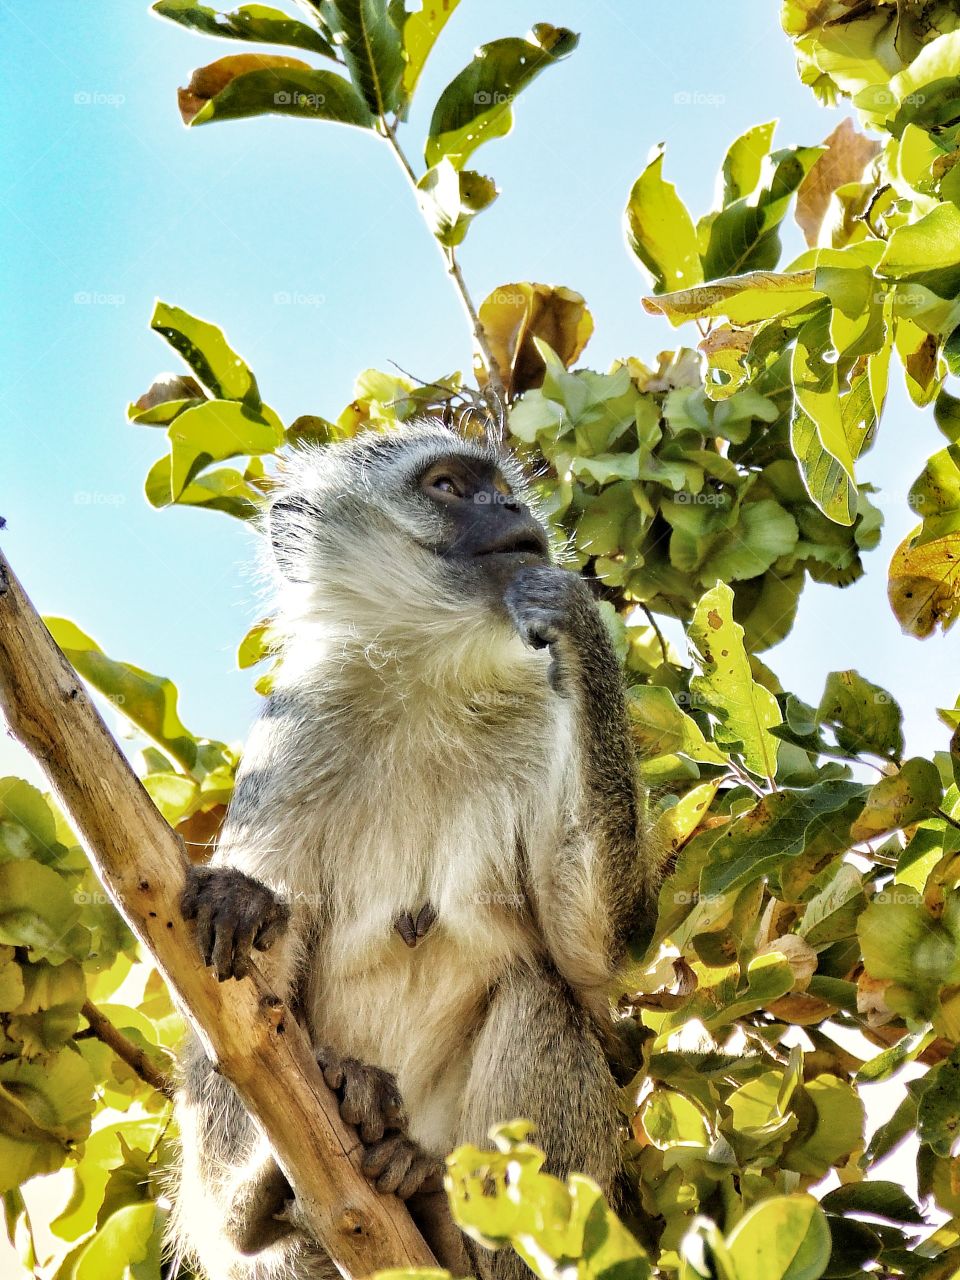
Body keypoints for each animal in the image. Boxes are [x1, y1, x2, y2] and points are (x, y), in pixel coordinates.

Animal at [170, 419, 654, 1280]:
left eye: (504, 488)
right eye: (449, 487)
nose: (513, 510)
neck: (430, 679)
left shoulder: (543, 716)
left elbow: (589, 956)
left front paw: (576, 616)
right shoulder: (291, 738)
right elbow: (251, 996)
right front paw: (239, 900)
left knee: (540, 998)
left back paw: (452, 1220)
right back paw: (256, 1208)